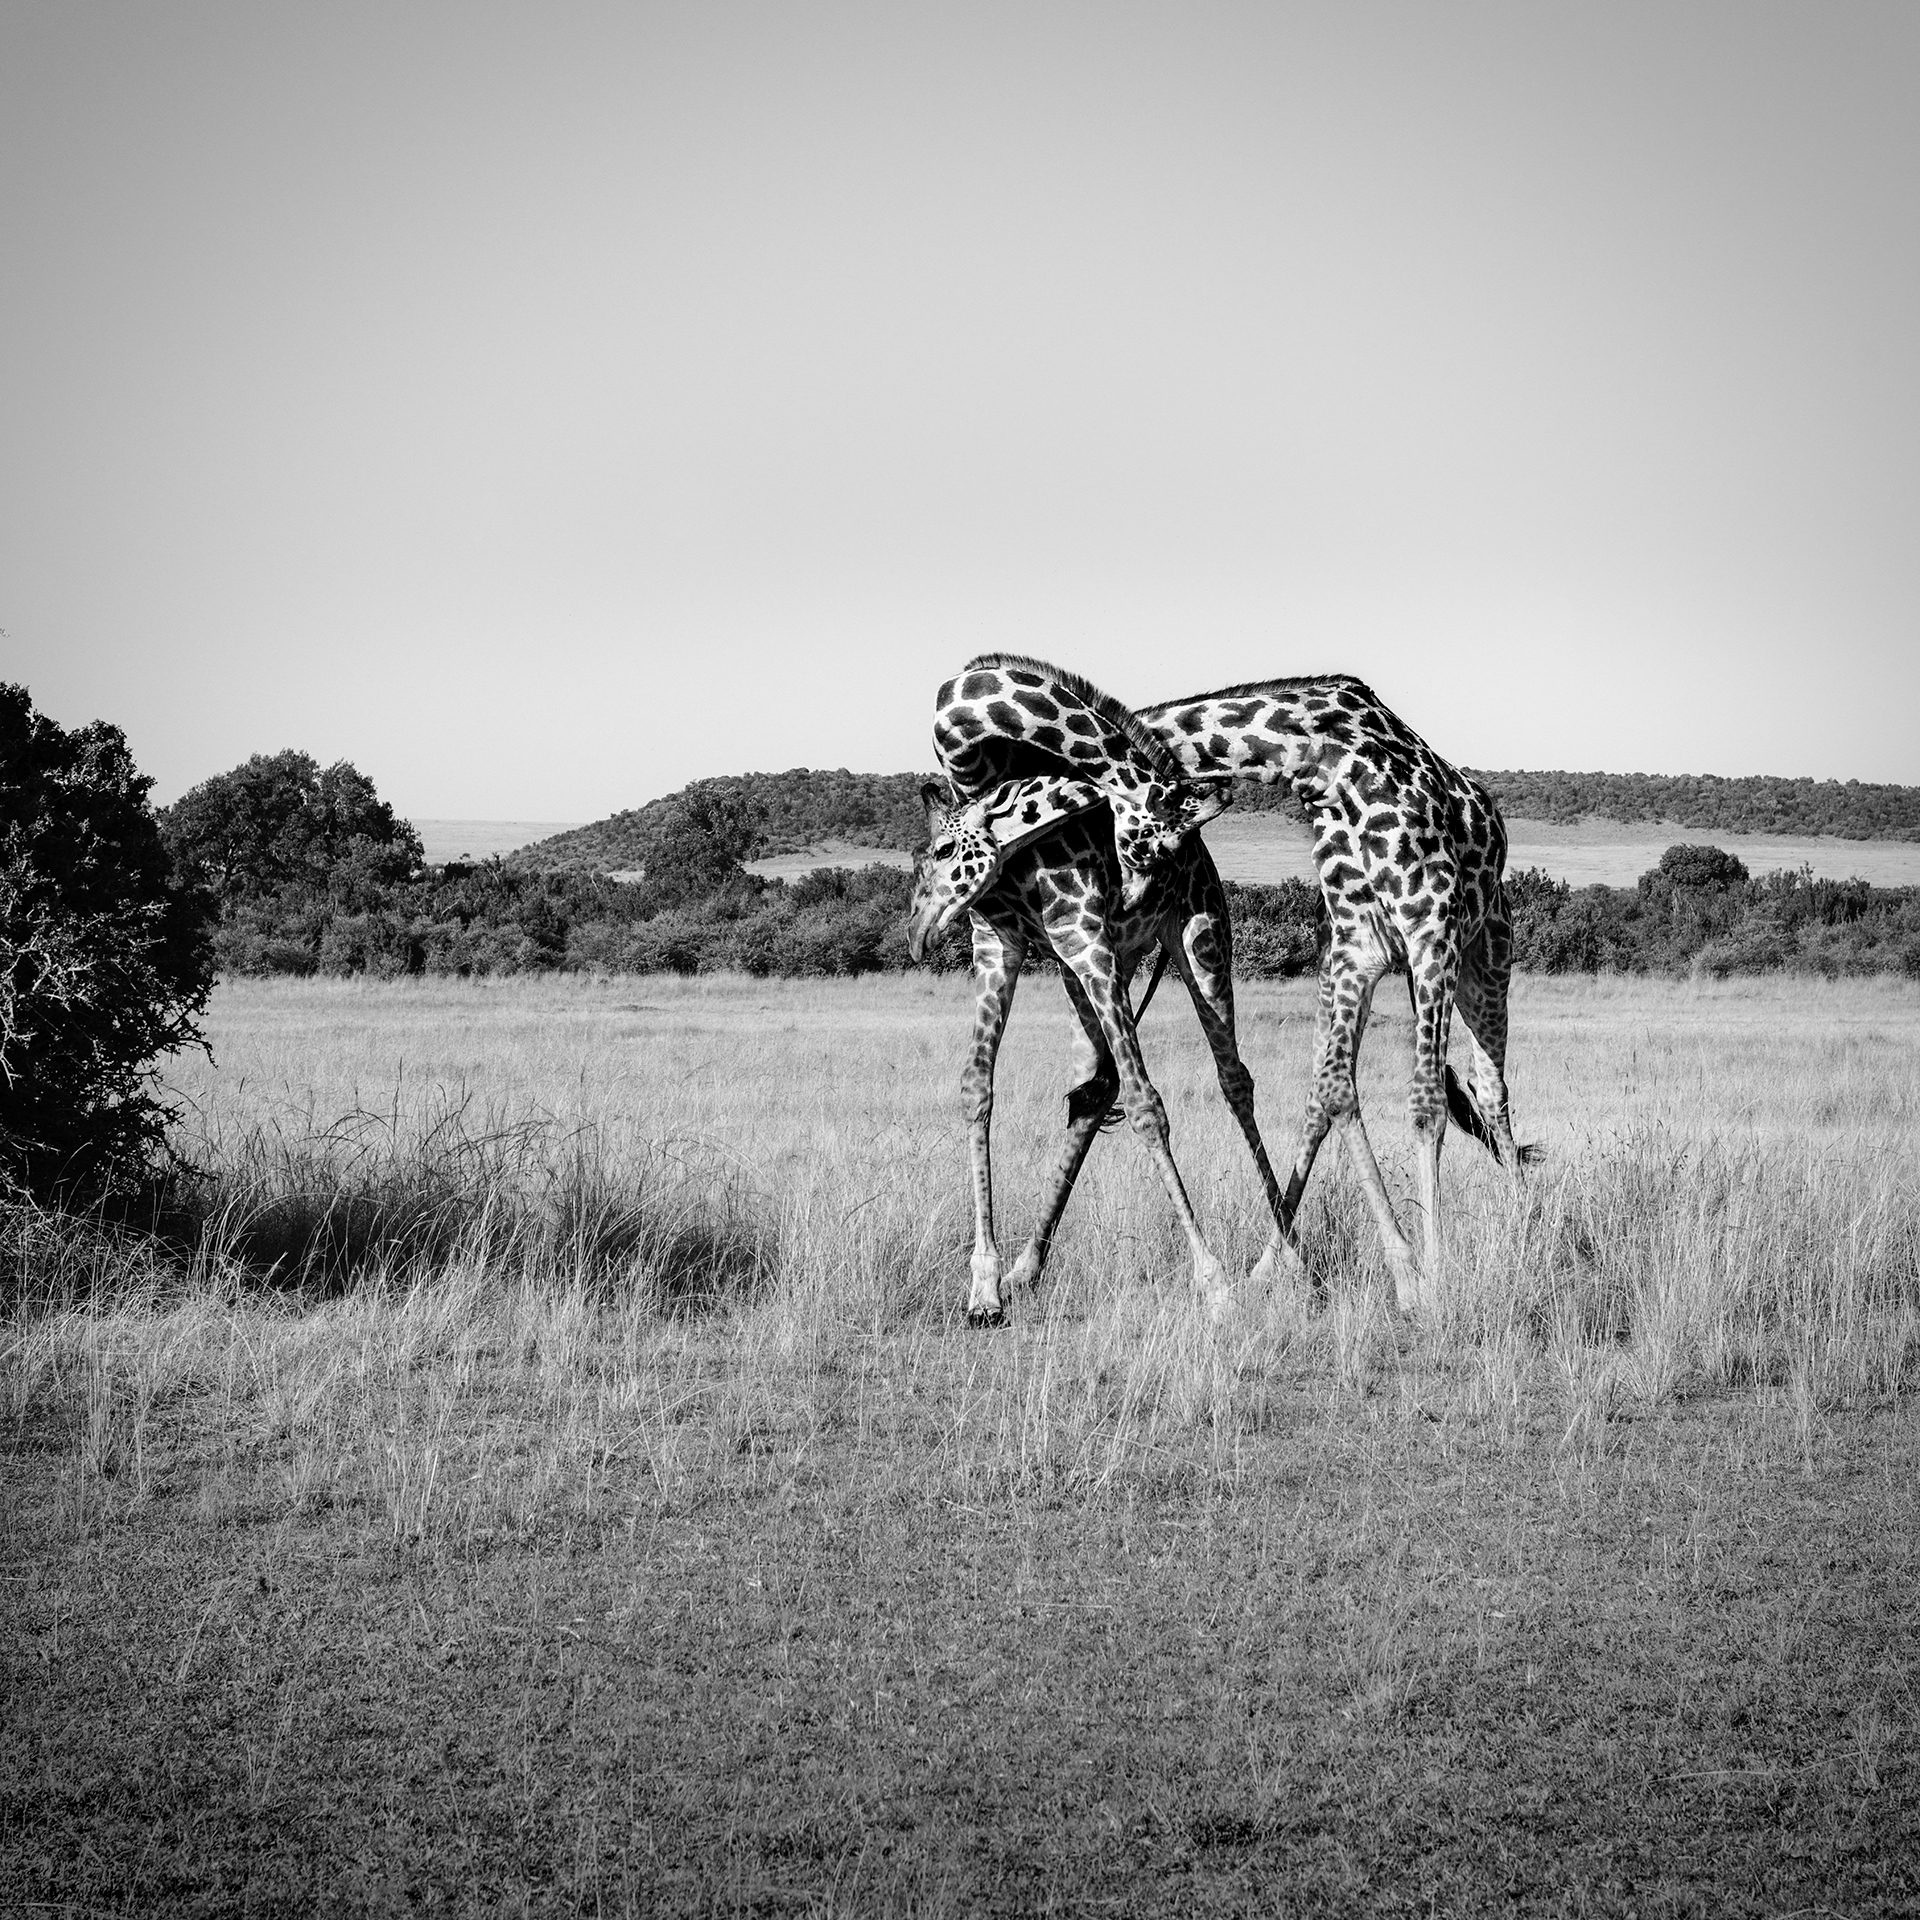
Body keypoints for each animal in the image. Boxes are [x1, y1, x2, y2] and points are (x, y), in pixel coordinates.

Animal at [906, 775, 1297, 1320]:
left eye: (945, 850)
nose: (916, 933)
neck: (1016, 874)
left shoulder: (1088, 941)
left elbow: (1146, 1104)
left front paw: (1214, 1283)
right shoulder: (999, 946)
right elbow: (976, 1089)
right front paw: (984, 1289)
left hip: (1199, 935)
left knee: (1231, 1080)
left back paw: (1285, 1257)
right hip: (1104, 963)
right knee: (1099, 1093)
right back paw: (1024, 1270)